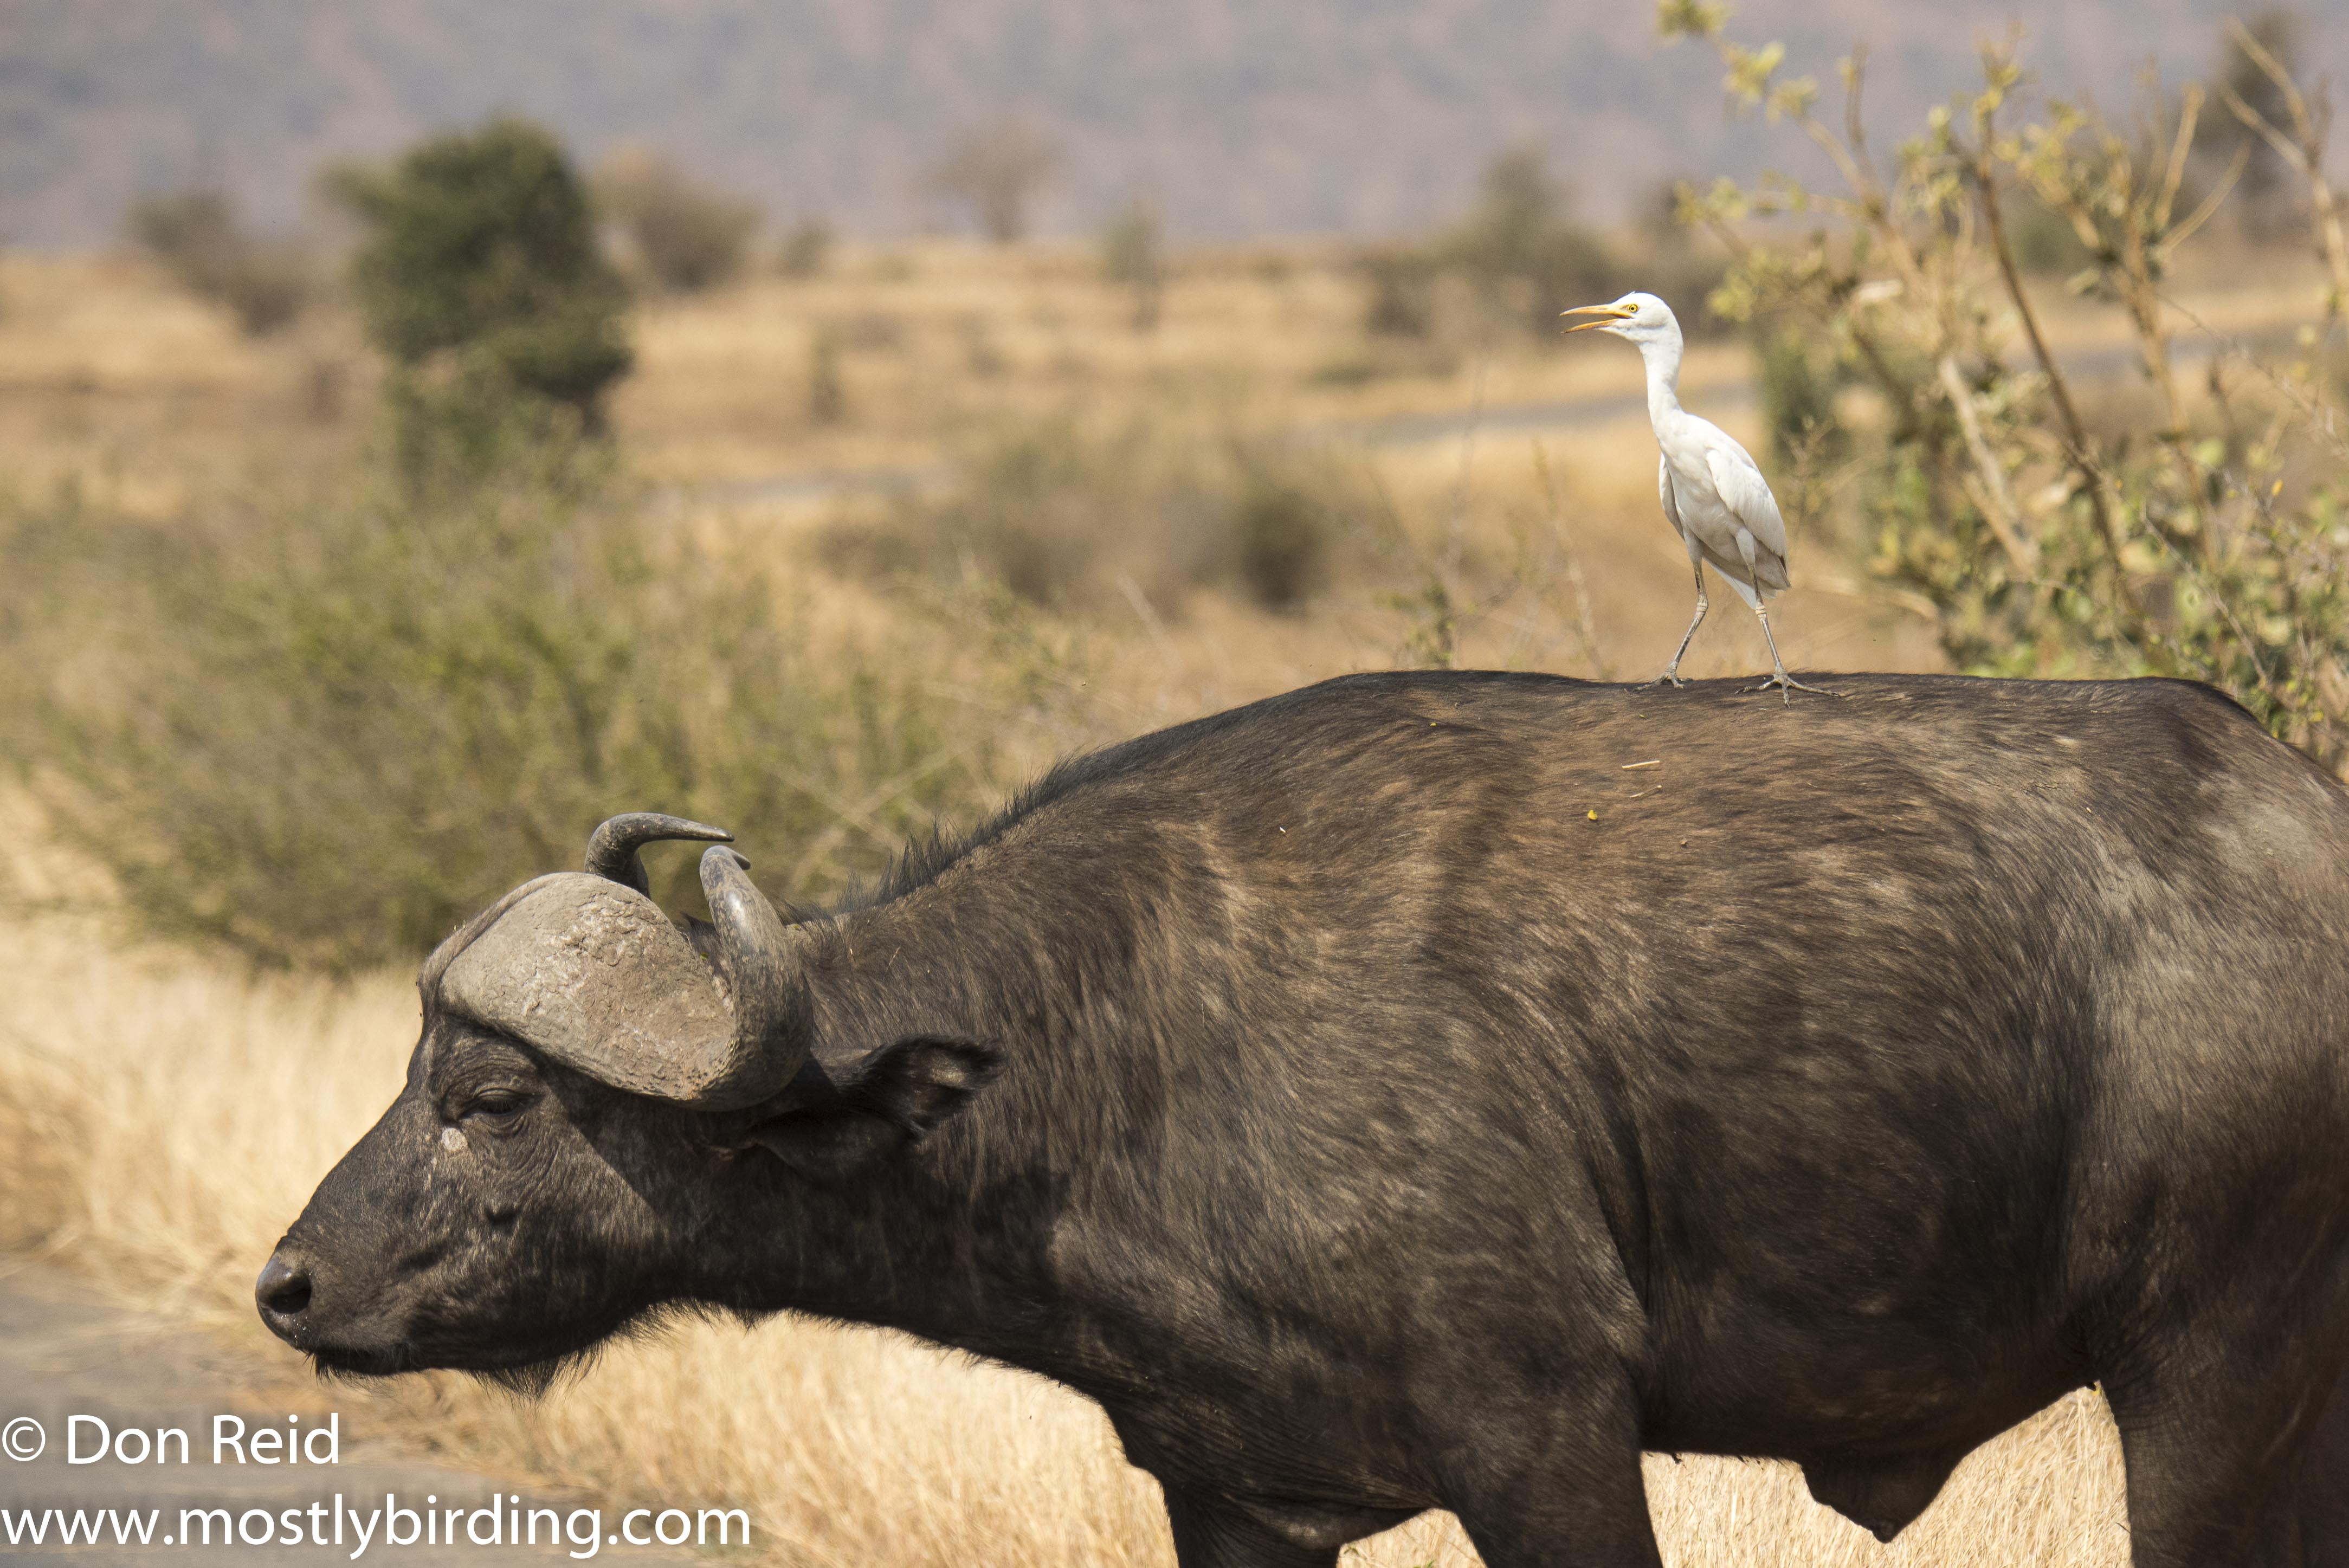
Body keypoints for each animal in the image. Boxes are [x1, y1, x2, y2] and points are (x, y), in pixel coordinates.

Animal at [257, 671, 2349, 1567]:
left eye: (493, 1093)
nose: (287, 1286)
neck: (1112, 1046)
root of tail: (2300, 811)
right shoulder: (1229, 1493)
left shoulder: (1546, 1436)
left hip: (2202, 1379)